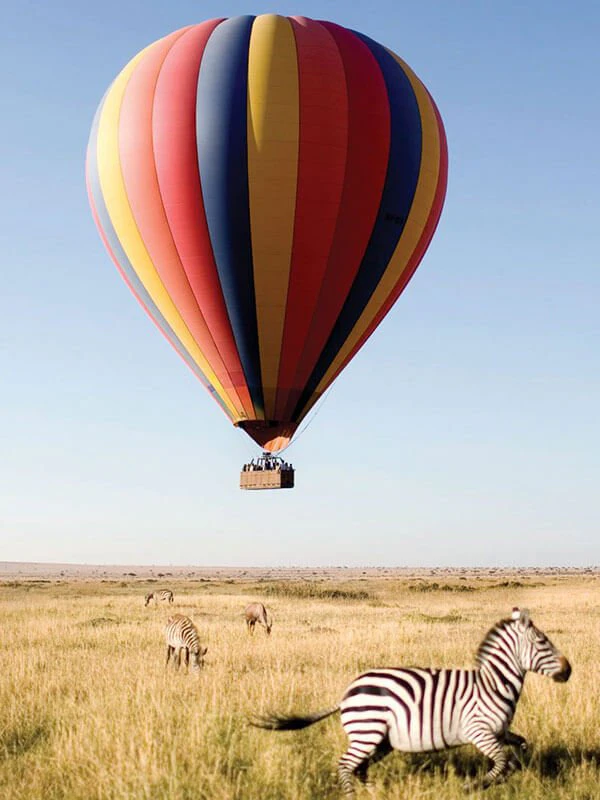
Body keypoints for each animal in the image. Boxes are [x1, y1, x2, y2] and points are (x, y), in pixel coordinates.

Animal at [251, 608, 571, 795]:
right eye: (542, 642)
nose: (568, 670)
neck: (493, 684)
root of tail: (346, 694)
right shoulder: (478, 731)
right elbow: (502, 761)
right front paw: (471, 786)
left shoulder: (500, 732)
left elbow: (518, 751)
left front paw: (509, 776)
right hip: (367, 734)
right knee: (346, 765)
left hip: (380, 740)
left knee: (360, 768)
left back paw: (376, 795)